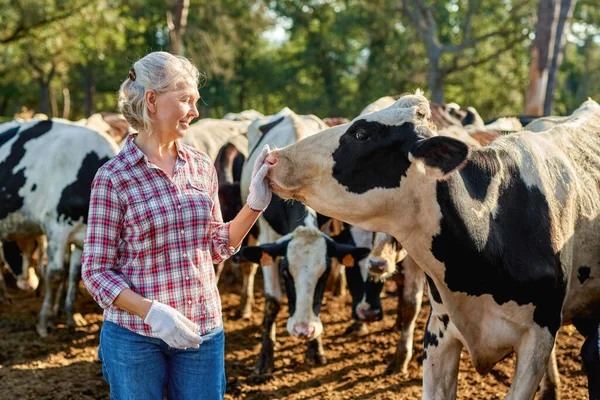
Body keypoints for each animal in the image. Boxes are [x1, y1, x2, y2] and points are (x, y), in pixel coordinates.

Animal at [0, 120, 118, 336]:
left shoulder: (82, 236)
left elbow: (75, 274)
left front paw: (72, 317)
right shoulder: (55, 227)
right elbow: (54, 274)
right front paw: (44, 321)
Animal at [240, 227, 370, 374]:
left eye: (326, 272)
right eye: (285, 271)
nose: (302, 331)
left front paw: (315, 349)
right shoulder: (266, 234)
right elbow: (273, 301)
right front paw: (265, 359)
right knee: (248, 267)